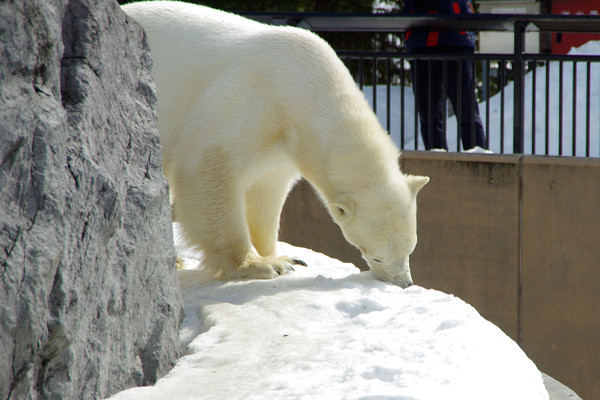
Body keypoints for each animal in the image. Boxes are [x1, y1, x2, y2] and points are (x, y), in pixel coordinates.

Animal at [124, 0, 428, 288]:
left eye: (411, 250)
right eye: (376, 256)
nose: (404, 283)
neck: (306, 85)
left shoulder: (284, 145)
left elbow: (266, 192)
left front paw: (280, 255)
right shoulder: (251, 99)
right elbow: (209, 166)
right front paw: (258, 265)